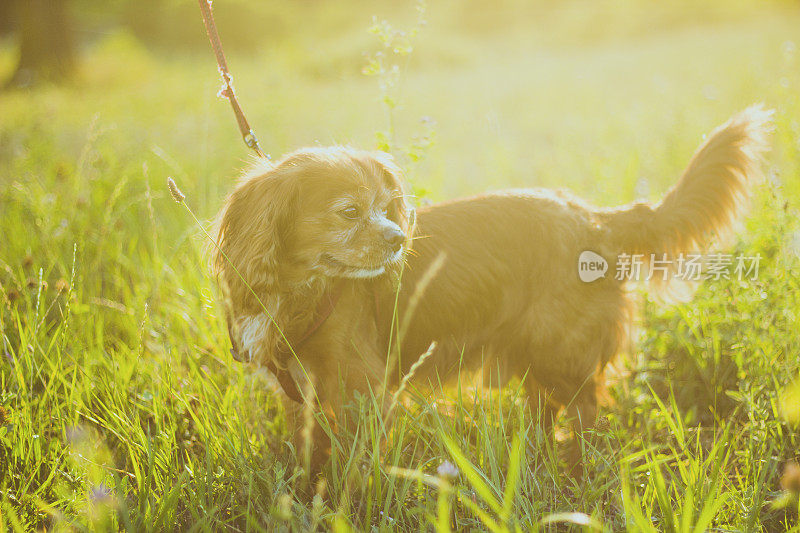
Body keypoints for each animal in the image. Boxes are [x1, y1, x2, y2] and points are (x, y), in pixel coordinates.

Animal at [212, 109, 768, 466]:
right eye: (349, 212)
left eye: (385, 207)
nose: (398, 240)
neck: (301, 289)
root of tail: (596, 218)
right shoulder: (299, 392)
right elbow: (308, 449)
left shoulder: (360, 387)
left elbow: (357, 463)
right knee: (550, 408)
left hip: (558, 349)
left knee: (587, 408)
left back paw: (574, 463)